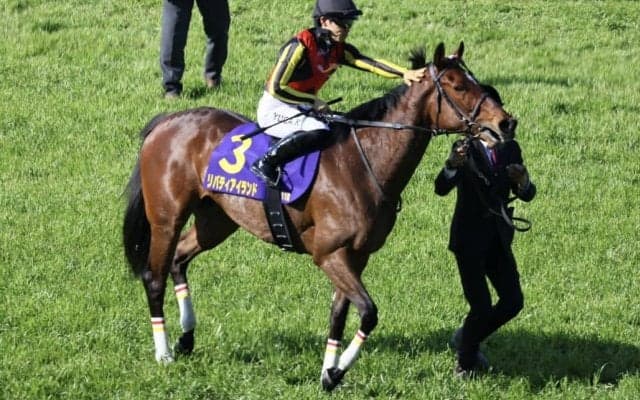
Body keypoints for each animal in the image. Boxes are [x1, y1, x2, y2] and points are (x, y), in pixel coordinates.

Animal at [122, 42, 517, 391]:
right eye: (458, 86)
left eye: (477, 81)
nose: (506, 123)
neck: (363, 163)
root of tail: (167, 122)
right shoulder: (328, 253)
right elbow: (368, 312)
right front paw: (337, 372)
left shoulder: (355, 255)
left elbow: (339, 315)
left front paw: (328, 373)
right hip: (167, 218)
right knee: (154, 276)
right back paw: (164, 353)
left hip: (216, 220)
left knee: (179, 260)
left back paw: (187, 339)